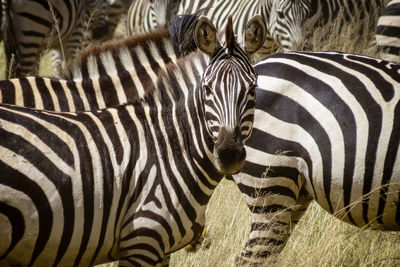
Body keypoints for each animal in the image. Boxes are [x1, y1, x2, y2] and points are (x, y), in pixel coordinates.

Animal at [0, 15, 268, 267]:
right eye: (208, 89)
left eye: (253, 88)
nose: (229, 154)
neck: (167, 144)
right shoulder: (142, 238)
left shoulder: (158, 247)